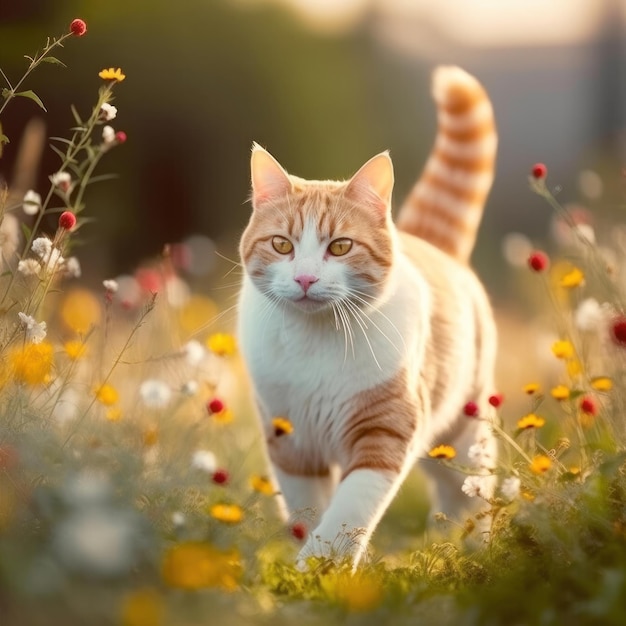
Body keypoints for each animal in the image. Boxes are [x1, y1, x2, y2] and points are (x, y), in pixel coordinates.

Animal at [238, 64, 498, 564]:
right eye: (282, 244)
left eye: (340, 247)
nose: (305, 279)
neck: (314, 340)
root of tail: (429, 242)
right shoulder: (291, 445)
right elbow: (309, 513)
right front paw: (305, 568)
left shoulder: (385, 430)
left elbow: (348, 511)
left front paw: (319, 567)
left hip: (461, 435)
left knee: (473, 490)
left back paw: (476, 551)